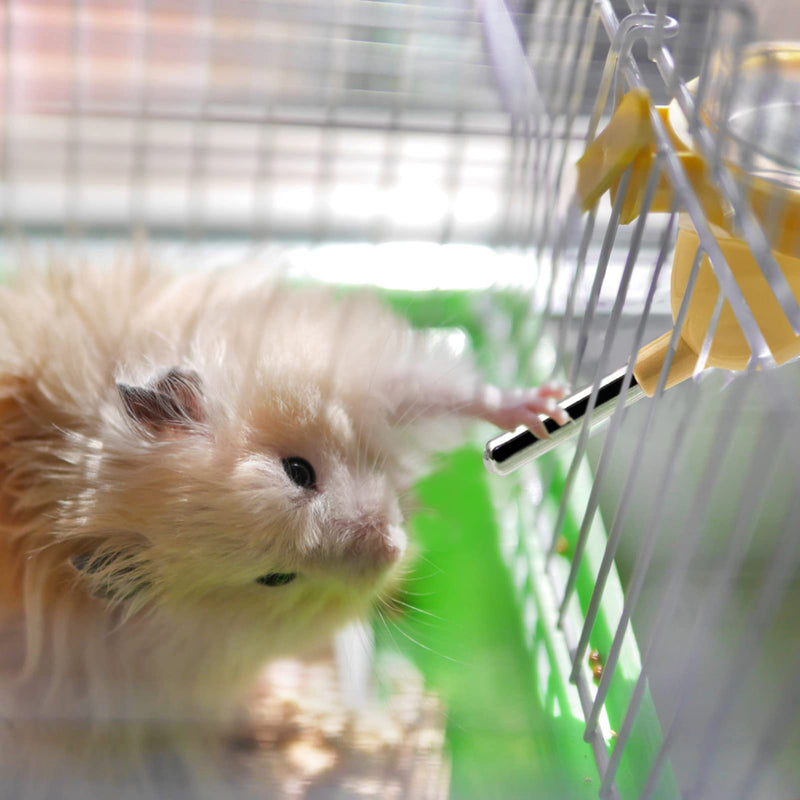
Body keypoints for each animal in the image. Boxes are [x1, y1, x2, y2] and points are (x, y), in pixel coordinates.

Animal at [0, 260, 566, 725]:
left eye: (298, 470)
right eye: (275, 578)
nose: (393, 548)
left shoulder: (356, 371)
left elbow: (443, 391)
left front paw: (543, 410)